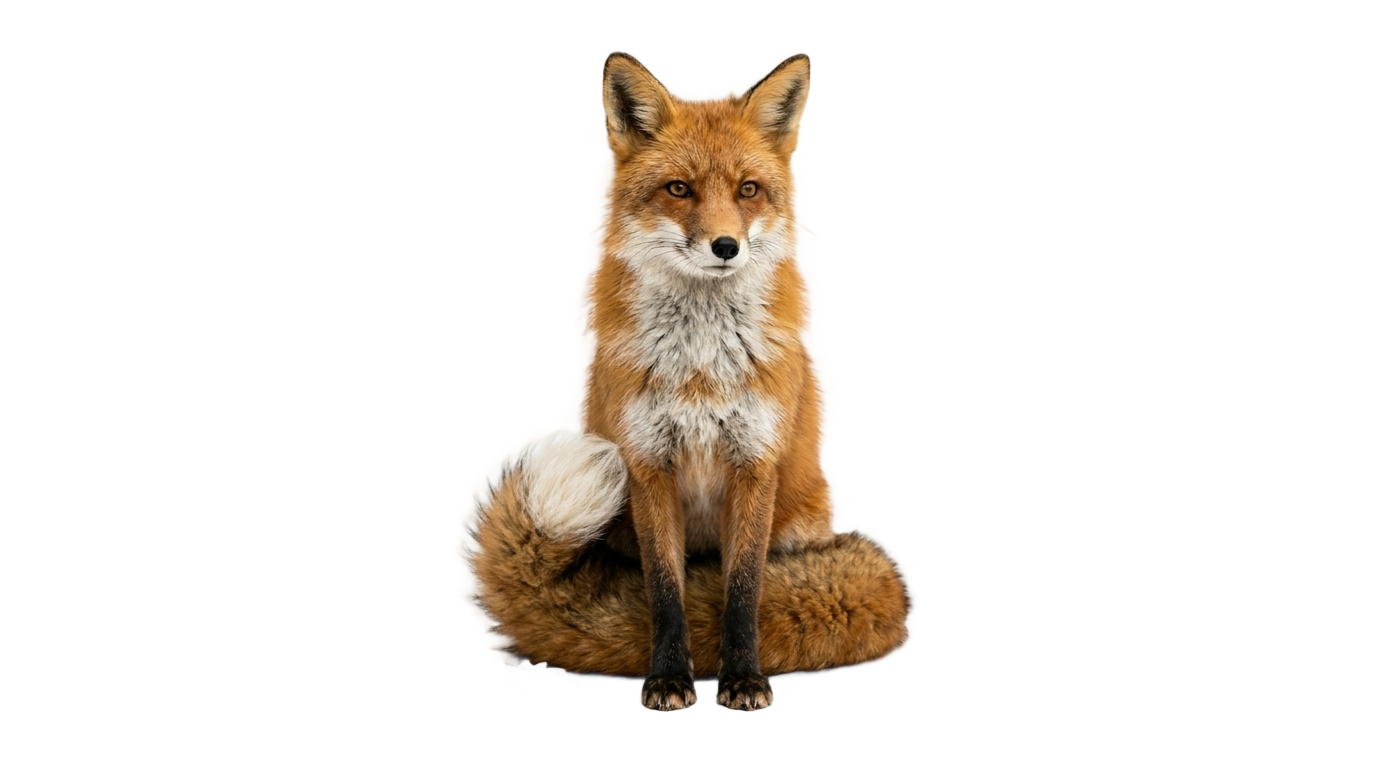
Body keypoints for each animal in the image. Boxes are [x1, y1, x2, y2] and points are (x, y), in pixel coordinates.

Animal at [459, 53, 909, 711]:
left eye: (748, 190)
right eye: (679, 189)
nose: (726, 246)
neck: (701, 365)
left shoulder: (754, 464)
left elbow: (743, 590)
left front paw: (742, 678)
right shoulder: (648, 466)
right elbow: (667, 592)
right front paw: (669, 678)